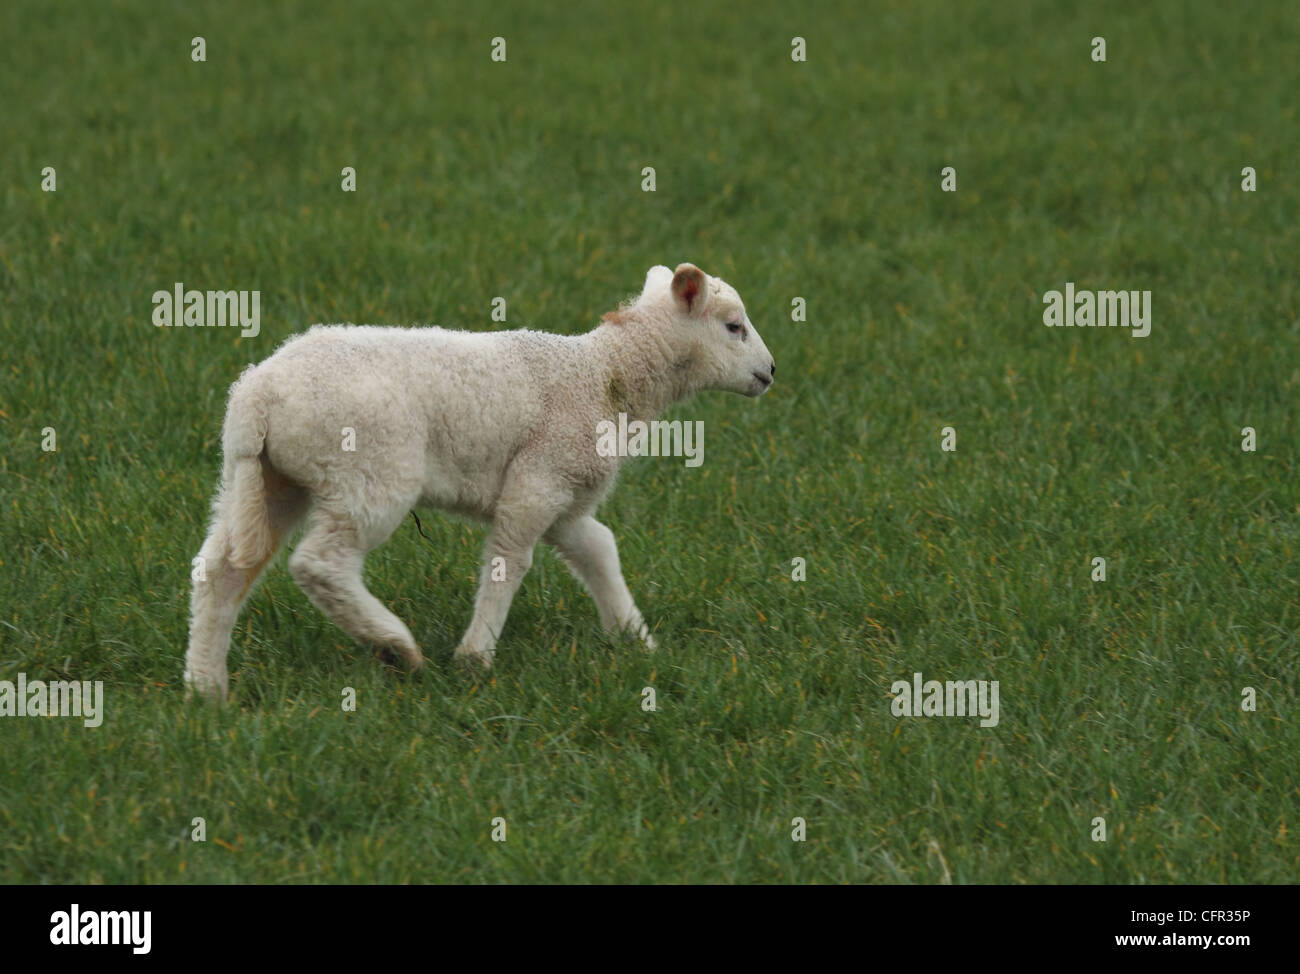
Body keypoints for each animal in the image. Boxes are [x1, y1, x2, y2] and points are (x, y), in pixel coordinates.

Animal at [184, 262, 776, 700]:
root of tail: (256, 397)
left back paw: (205, 685)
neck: (604, 376)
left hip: (270, 479)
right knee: (320, 564)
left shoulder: (564, 497)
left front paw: (635, 640)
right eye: (733, 326)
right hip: (372, 471)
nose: (770, 373)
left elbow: (598, 550)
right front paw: (475, 657)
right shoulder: (538, 479)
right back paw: (395, 646)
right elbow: (508, 560)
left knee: (222, 569)